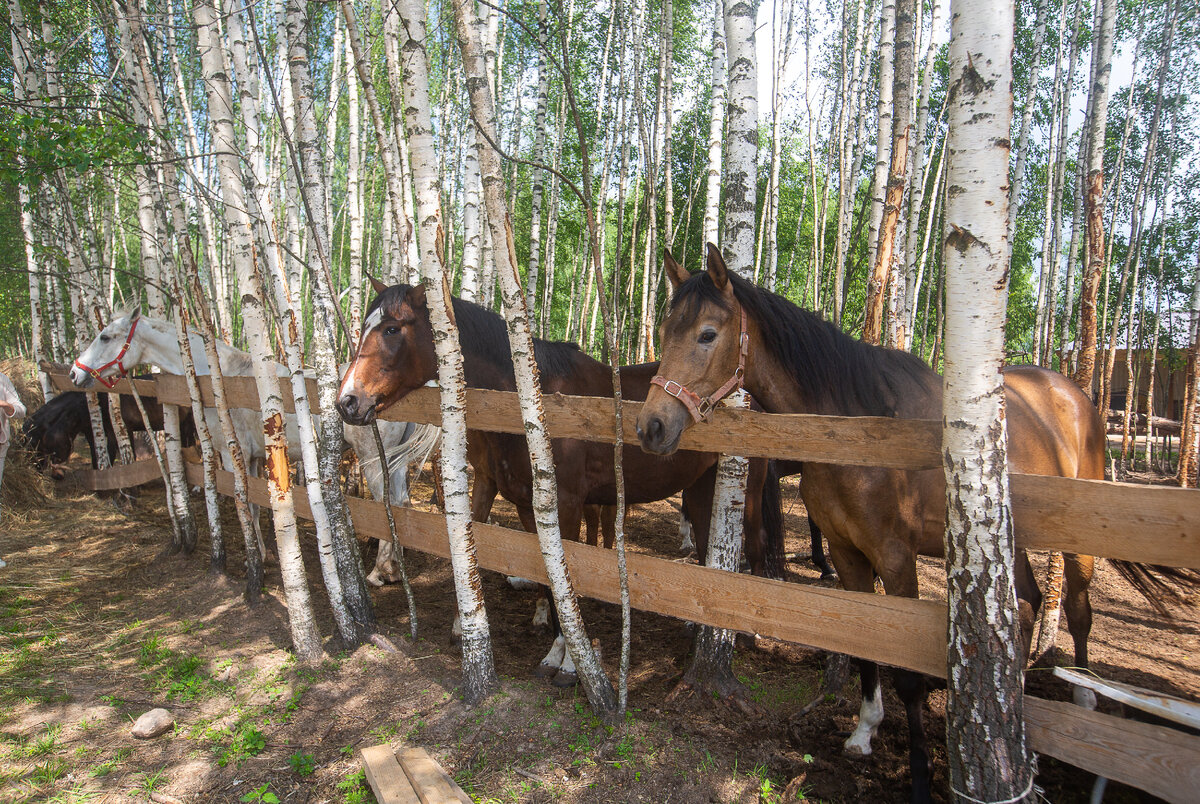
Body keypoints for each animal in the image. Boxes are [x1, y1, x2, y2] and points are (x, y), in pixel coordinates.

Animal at [70, 309, 439, 585]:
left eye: (105, 337)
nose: (75, 373)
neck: (224, 378)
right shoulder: (254, 458)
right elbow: (258, 506)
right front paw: (265, 552)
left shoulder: (232, 454)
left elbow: (243, 502)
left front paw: (255, 560)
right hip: (394, 462)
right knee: (401, 504)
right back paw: (393, 569)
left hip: (373, 459)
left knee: (387, 507)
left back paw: (379, 572)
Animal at [338, 280, 787, 691]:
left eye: (392, 328)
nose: (348, 401)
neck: (530, 406)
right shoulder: (524, 503)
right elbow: (545, 575)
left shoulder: (567, 505)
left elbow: (566, 582)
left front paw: (568, 660)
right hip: (699, 489)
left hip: (746, 494)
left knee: (755, 549)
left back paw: (747, 634)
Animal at [633, 246, 1195, 804]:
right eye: (665, 330)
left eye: (707, 334)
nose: (651, 426)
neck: (856, 426)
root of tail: (1074, 395)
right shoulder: (848, 555)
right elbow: (865, 650)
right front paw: (864, 731)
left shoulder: (895, 558)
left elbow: (905, 673)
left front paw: (921, 775)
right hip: (1004, 540)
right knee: (1028, 606)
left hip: (1078, 545)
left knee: (1078, 612)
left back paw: (1083, 703)